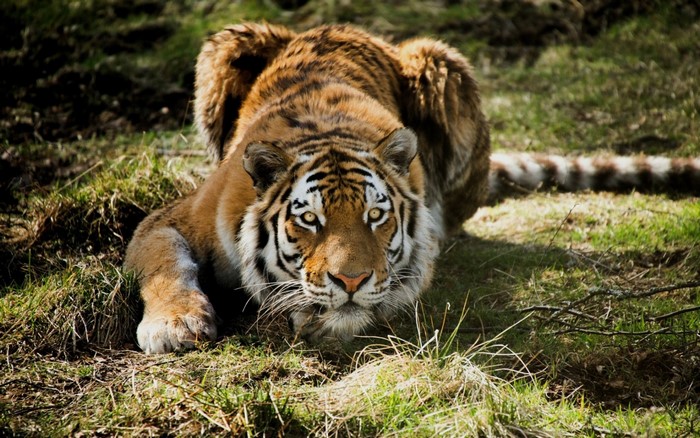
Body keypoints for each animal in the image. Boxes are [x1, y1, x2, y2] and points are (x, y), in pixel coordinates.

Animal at [124, 23, 700, 354]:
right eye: (309, 219)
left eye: (375, 217)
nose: (350, 281)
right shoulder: (170, 218)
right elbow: (166, 264)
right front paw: (175, 325)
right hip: (227, 42)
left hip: (442, 65)